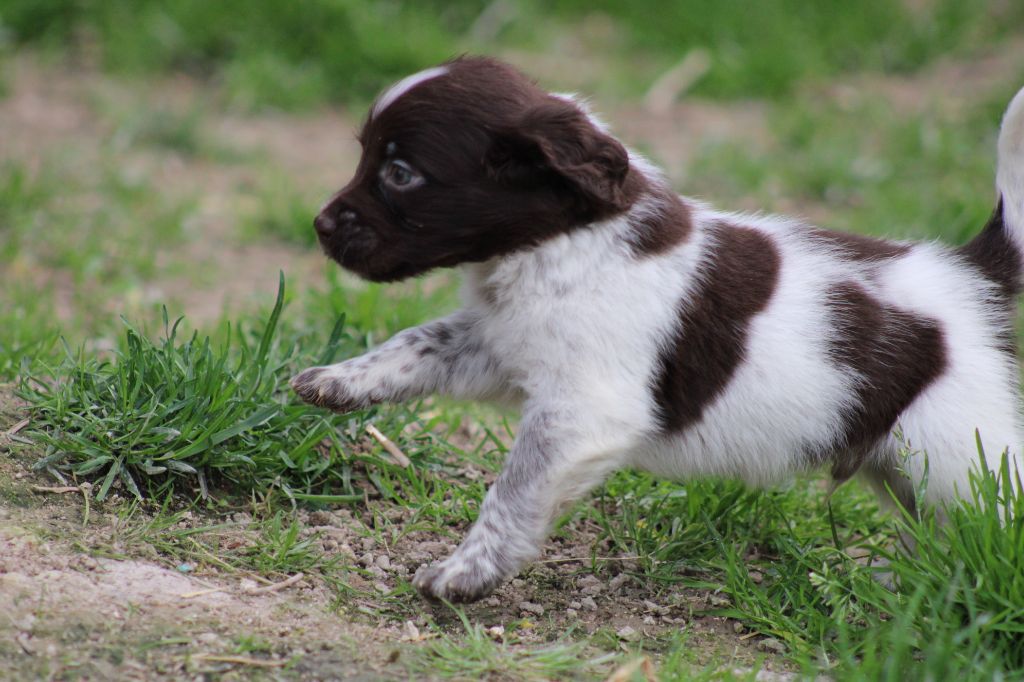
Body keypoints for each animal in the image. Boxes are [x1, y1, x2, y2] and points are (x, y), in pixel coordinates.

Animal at [292, 57, 1024, 602]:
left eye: (399, 173)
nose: (319, 226)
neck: (568, 238)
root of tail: (969, 273)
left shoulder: (583, 410)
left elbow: (513, 492)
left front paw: (465, 574)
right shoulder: (504, 344)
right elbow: (419, 343)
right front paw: (339, 380)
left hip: (962, 454)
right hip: (905, 463)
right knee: (930, 532)